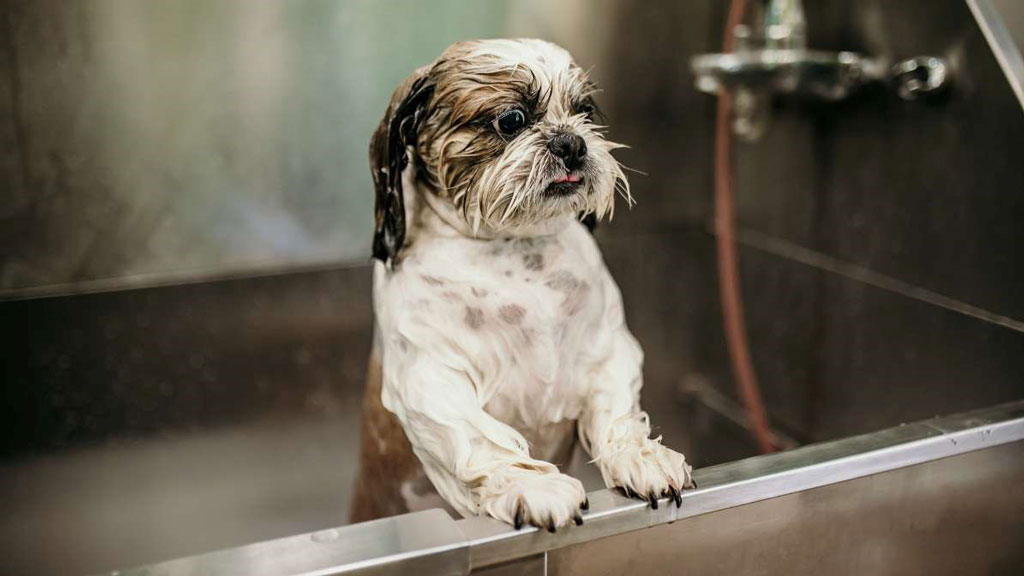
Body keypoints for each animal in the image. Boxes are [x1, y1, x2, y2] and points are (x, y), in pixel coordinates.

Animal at [352, 36, 696, 528]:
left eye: (584, 111)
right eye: (511, 119)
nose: (572, 143)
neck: (516, 251)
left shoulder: (608, 349)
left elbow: (615, 409)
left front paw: (640, 456)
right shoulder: (431, 378)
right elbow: (479, 439)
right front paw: (530, 486)